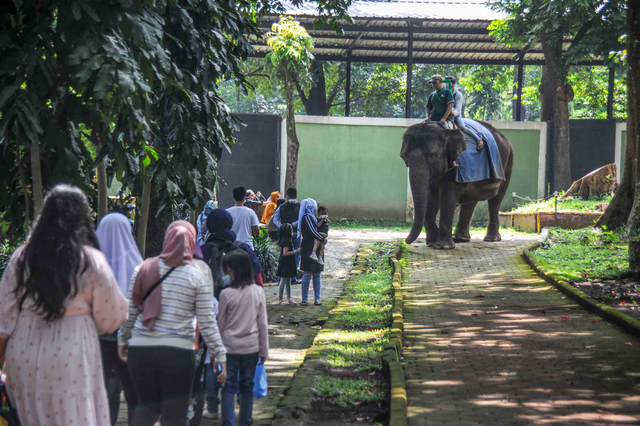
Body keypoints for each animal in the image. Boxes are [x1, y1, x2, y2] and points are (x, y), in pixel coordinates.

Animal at [400, 120, 516, 250]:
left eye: (431, 156)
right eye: (404, 156)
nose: (405, 241)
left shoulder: (456, 164)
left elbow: (447, 196)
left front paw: (442, 246)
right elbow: (431, 197)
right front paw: (432, 242)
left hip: (508, 161)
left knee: (496, 199)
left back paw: (491, 239)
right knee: (472, 199)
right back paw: (460, 238)